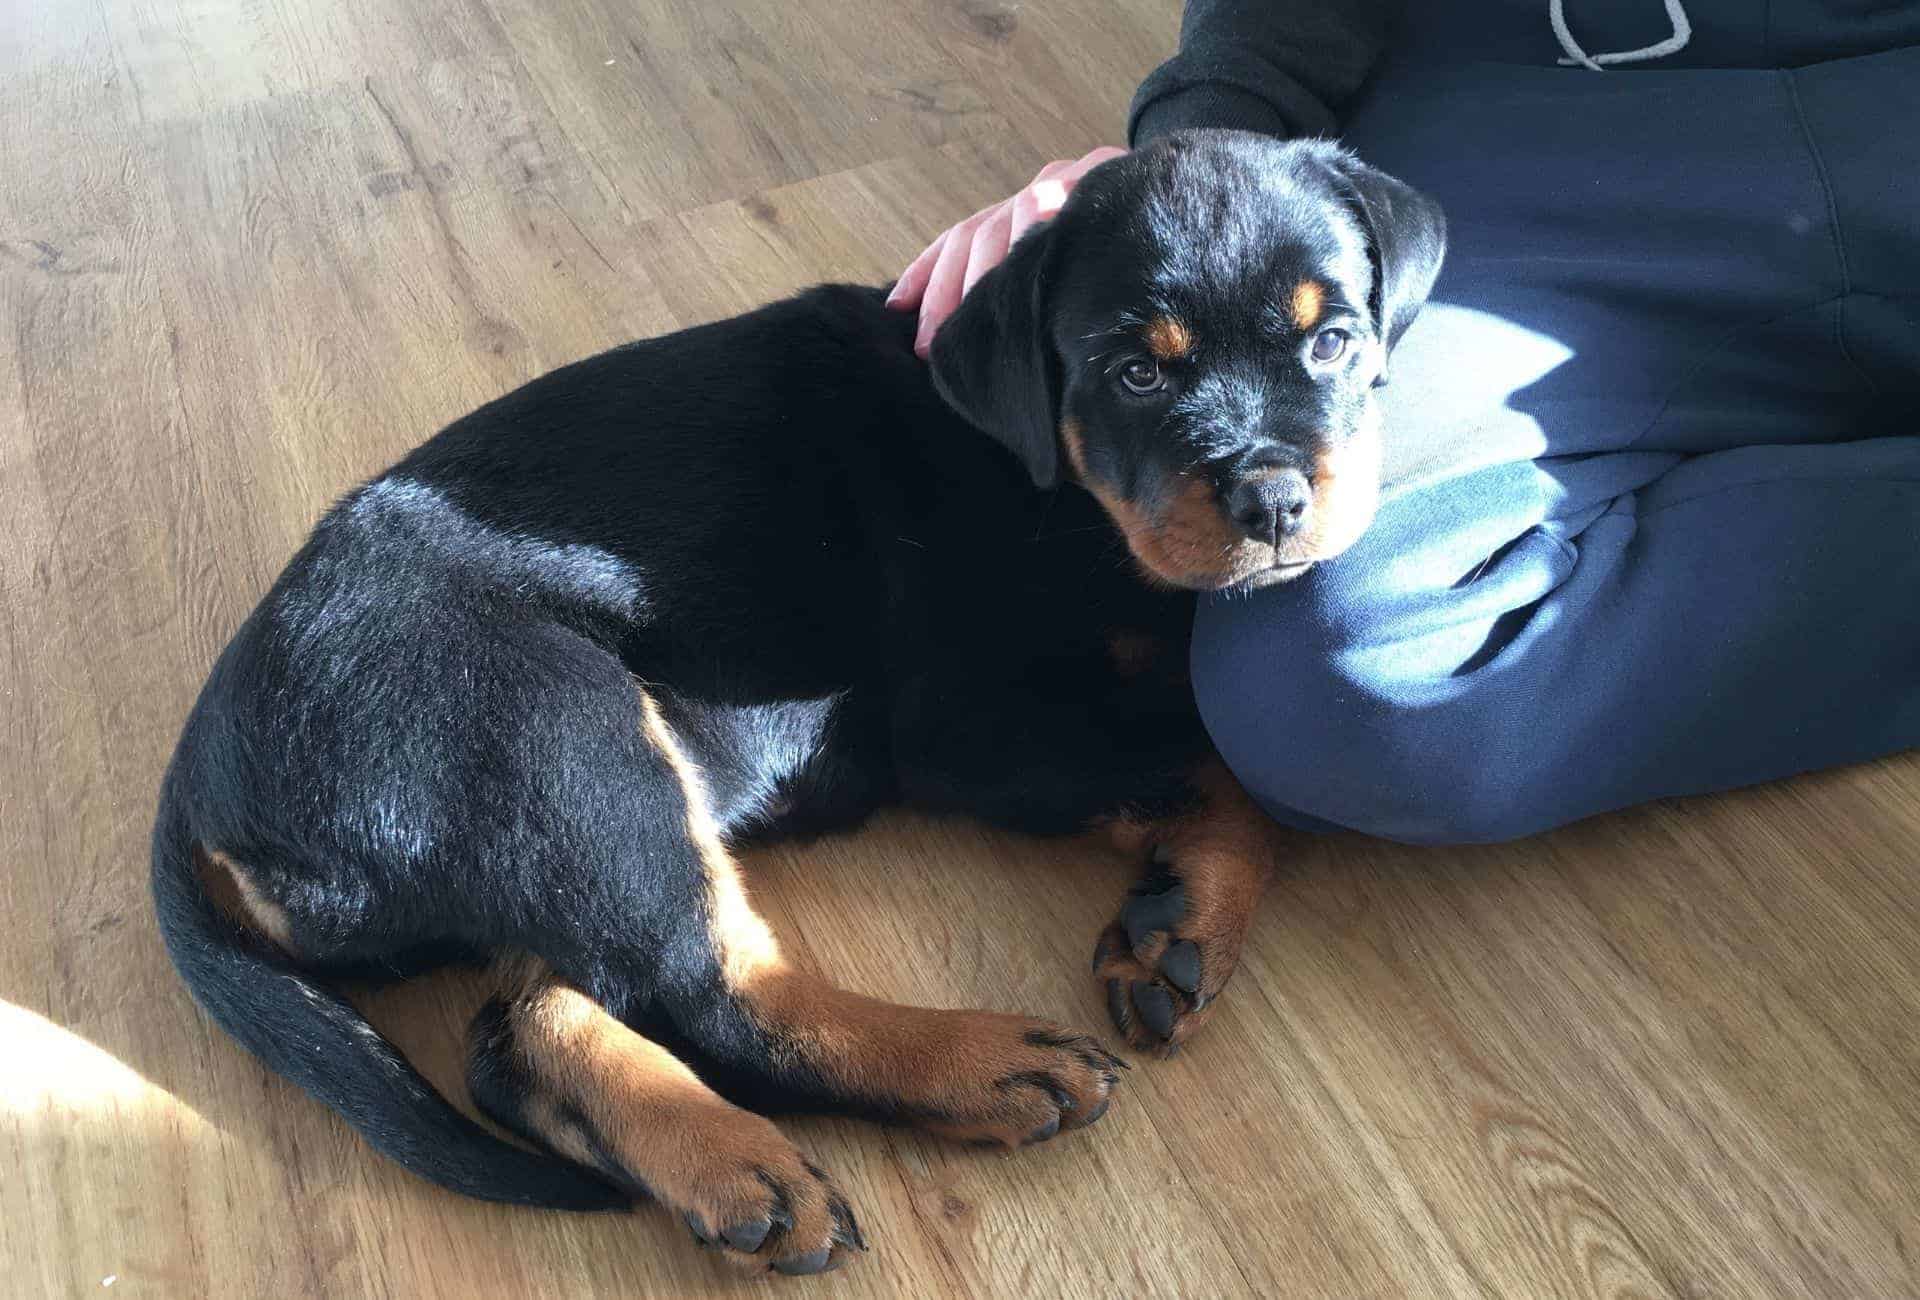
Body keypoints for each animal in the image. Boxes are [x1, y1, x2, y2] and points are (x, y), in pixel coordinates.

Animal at [153, 131, 1443, 1267]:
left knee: (528, 1029)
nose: (1274, 500)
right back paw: (975, 1068)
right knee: (716, 997)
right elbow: (1218, 765)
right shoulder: (972, 724)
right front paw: (1188, 910)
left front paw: (1179, 921)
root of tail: (200, 774)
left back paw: (728, 1173)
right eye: (1135, 371)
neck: (1052, 477)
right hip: (558, 731)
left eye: (1333, 341)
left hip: (545, 814)